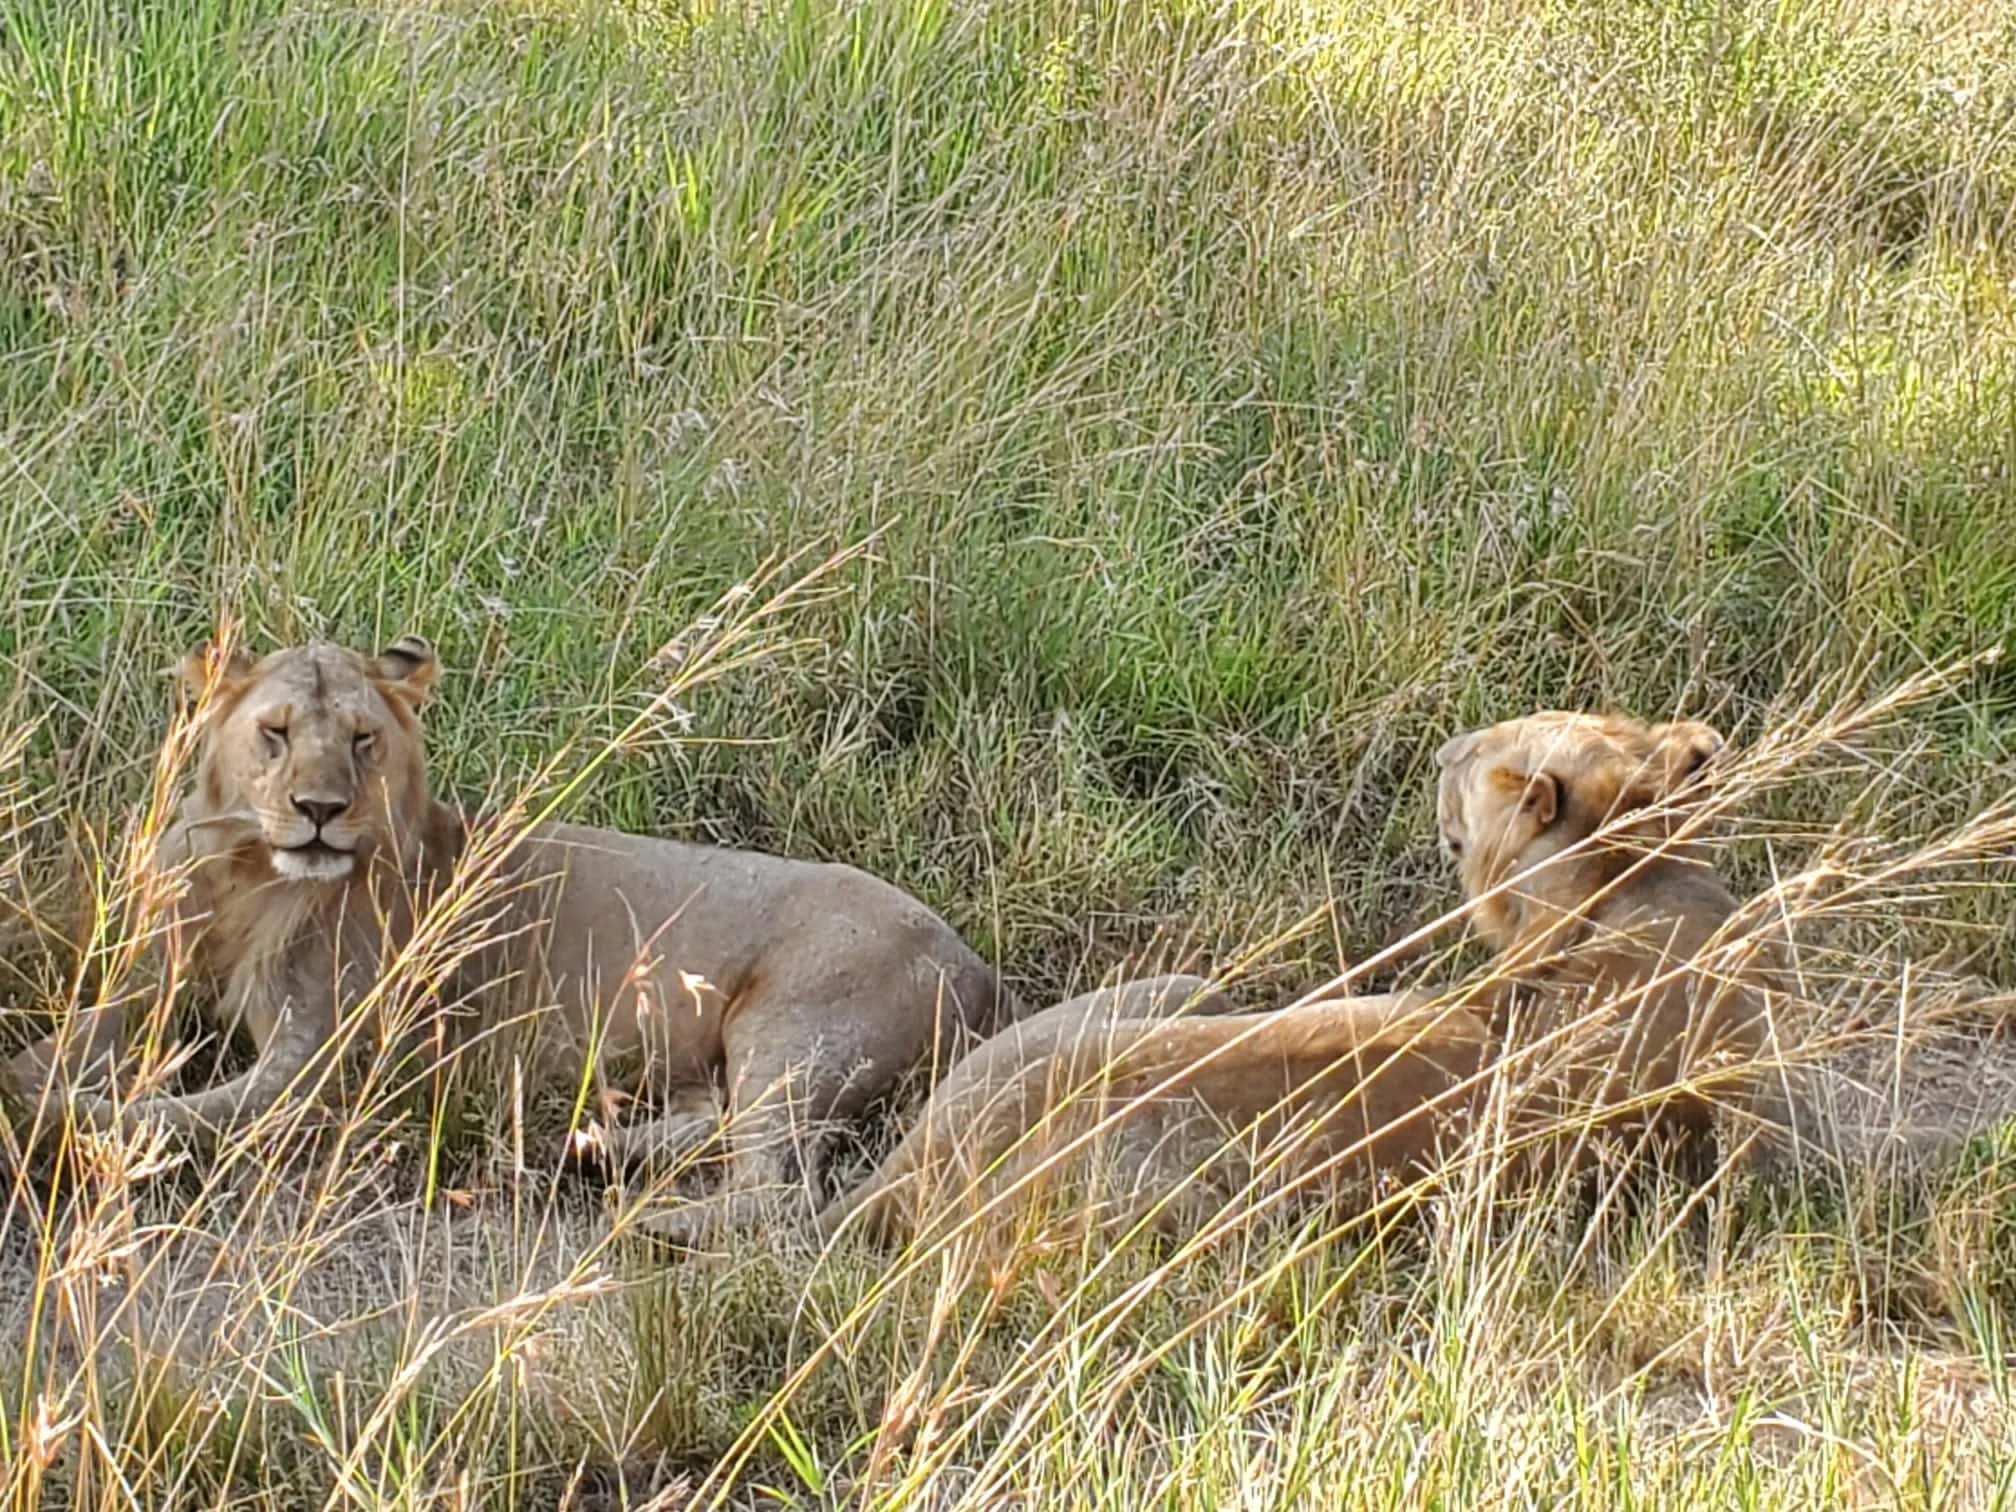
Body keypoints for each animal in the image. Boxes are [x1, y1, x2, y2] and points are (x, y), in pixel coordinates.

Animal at [3, 637, 1017, 1242]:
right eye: (277, 733)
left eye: (364, 740)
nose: (320, 810)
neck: (253, 880)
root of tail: (978, 966)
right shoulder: (143, 987)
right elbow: (59, 1050)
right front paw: (34, 1083)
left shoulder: (321, 1062)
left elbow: (179, 1114)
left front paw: (60, 1121)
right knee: (717, 1127)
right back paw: (585, 1148)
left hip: (794, 1030)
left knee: (777, 1191)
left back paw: (642, 1218)